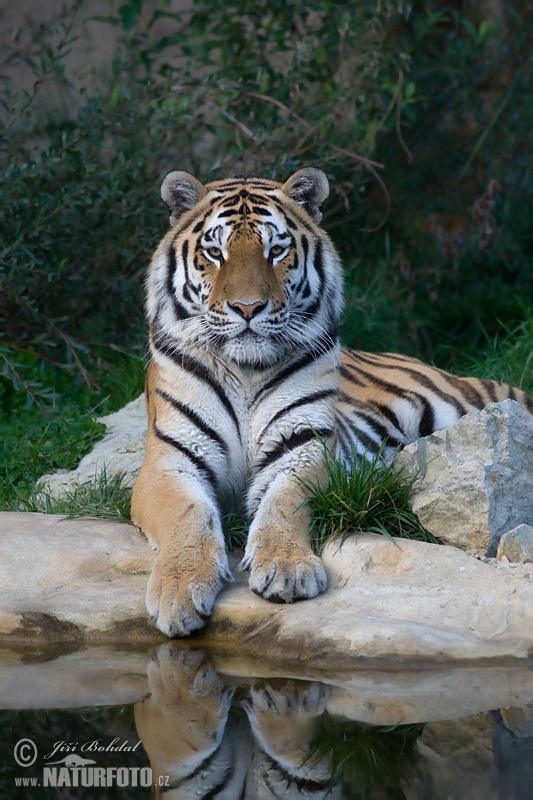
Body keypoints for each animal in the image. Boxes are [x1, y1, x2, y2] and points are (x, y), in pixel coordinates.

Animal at [130, 164, 532, 636]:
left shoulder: (305, 446)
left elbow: (285, 501)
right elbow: (187, 515)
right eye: (215, 252)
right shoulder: (169, 460)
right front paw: (178, 590)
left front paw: (286, 569)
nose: (247, 308)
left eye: (276, 250)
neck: (245, 370)